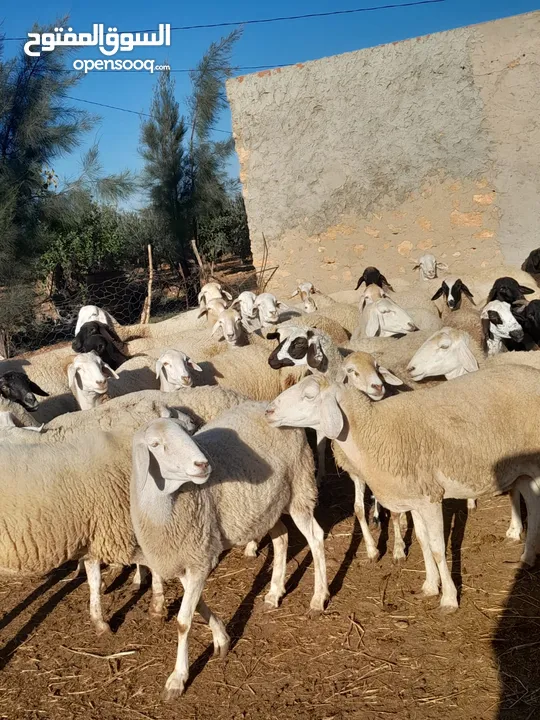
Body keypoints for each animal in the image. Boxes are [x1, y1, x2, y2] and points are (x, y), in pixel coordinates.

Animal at [131, 400, 330, 696]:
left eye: (186, 433)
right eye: (155, 444)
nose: (202, 464)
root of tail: (269, 406)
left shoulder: (199, 557)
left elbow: (183, 621)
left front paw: (178, 678)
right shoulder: (190, 555)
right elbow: (197, 606)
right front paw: (222, 638)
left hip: (299, 488)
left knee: (315, 537)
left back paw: (318, 598)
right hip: (266, 504)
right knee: (281, 537)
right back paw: (274, 592)